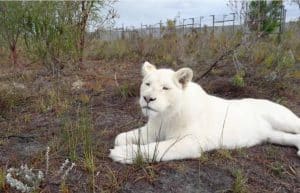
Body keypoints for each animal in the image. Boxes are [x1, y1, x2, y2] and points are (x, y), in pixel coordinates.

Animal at [109, 61, 300, 164]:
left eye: (165, 88)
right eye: (147, 84)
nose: (148, 98)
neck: (166, 115)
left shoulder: (190, 142)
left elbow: (156, 148)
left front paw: (121, 153)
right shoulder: (152, 131)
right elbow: (120, 136)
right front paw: (121, 144)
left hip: (284, 119)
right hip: (272, 135)